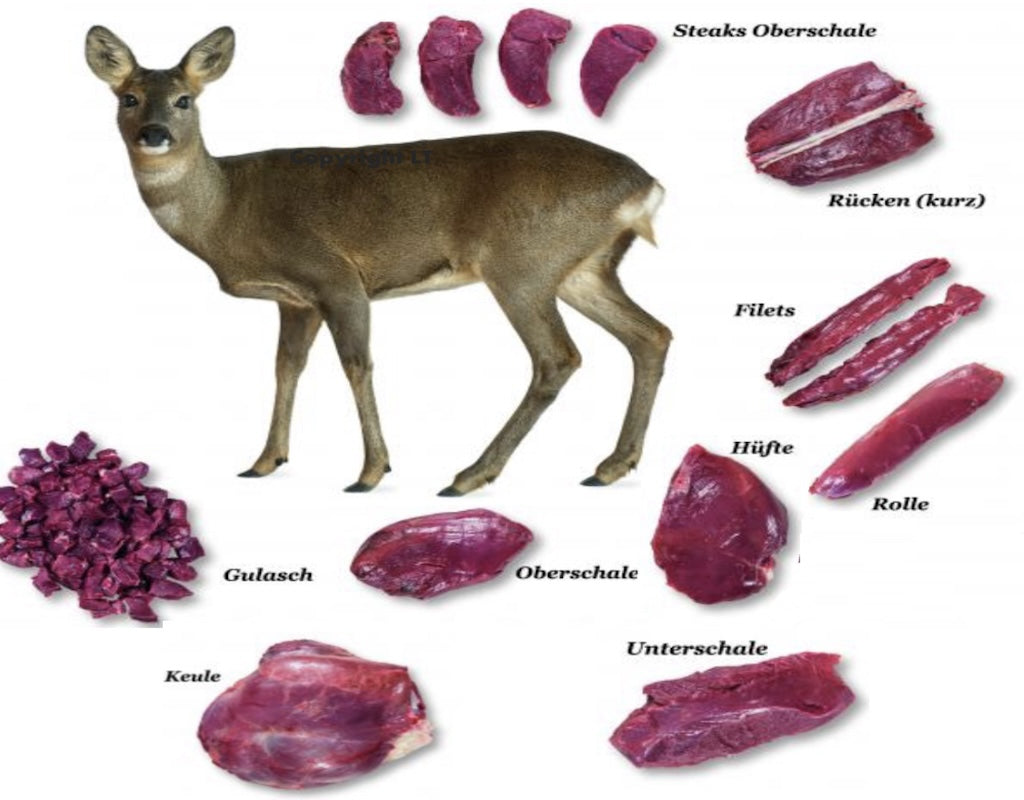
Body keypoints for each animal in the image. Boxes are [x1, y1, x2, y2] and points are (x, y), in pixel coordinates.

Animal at [85, 25, 671, 496]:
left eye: (185, 100)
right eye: (128, 97)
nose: (154, 134)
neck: (228, 210)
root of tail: (645, 186)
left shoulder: (336, 276)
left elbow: (356, 364)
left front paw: (370, 472)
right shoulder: (296, 301)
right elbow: (285, 367)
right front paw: (265, 461)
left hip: (522, 265)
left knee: (558, 357)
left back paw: (469, 475)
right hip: (582, 268)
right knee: (651, 335)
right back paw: (611, 465)